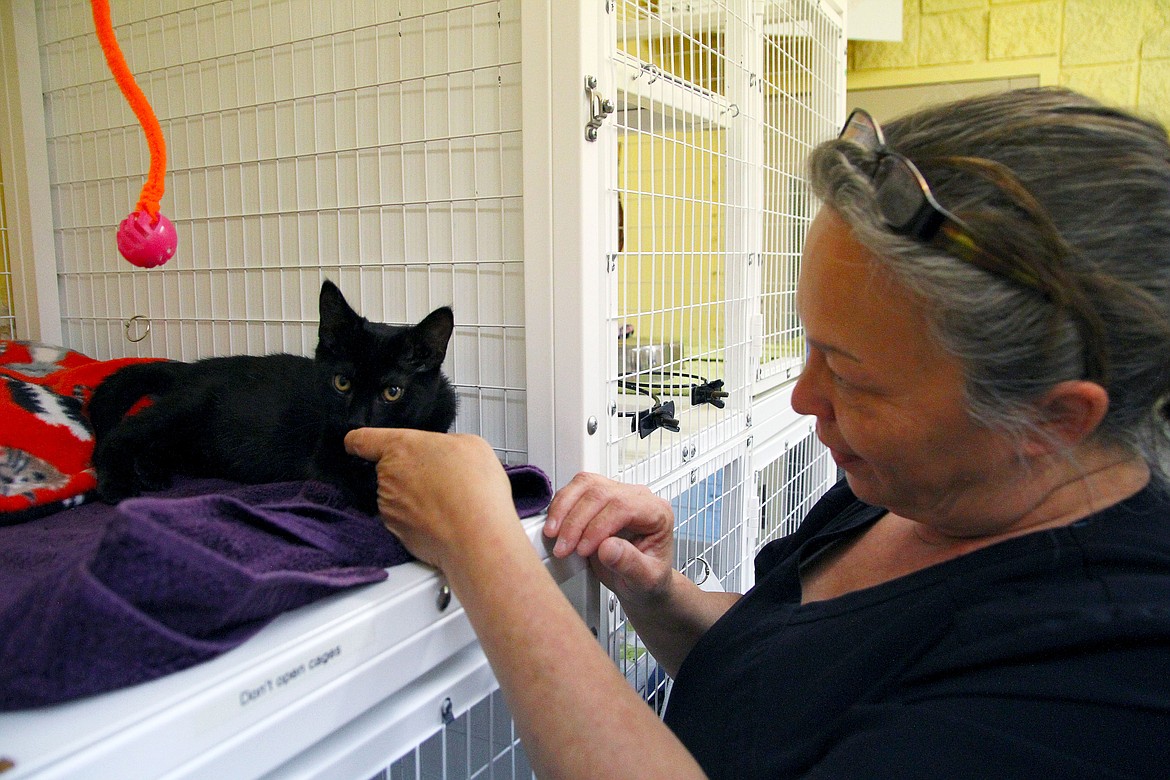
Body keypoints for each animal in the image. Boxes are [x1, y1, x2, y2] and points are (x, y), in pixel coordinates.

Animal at [86, 280, 456, 512]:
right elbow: (363, 480)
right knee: (122, 431)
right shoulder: (326, 451)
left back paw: (152, 472)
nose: (354, 423)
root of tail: (187, 369)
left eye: (392, 392)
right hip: (185, 406)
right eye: (342, 383)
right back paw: (118, 483)